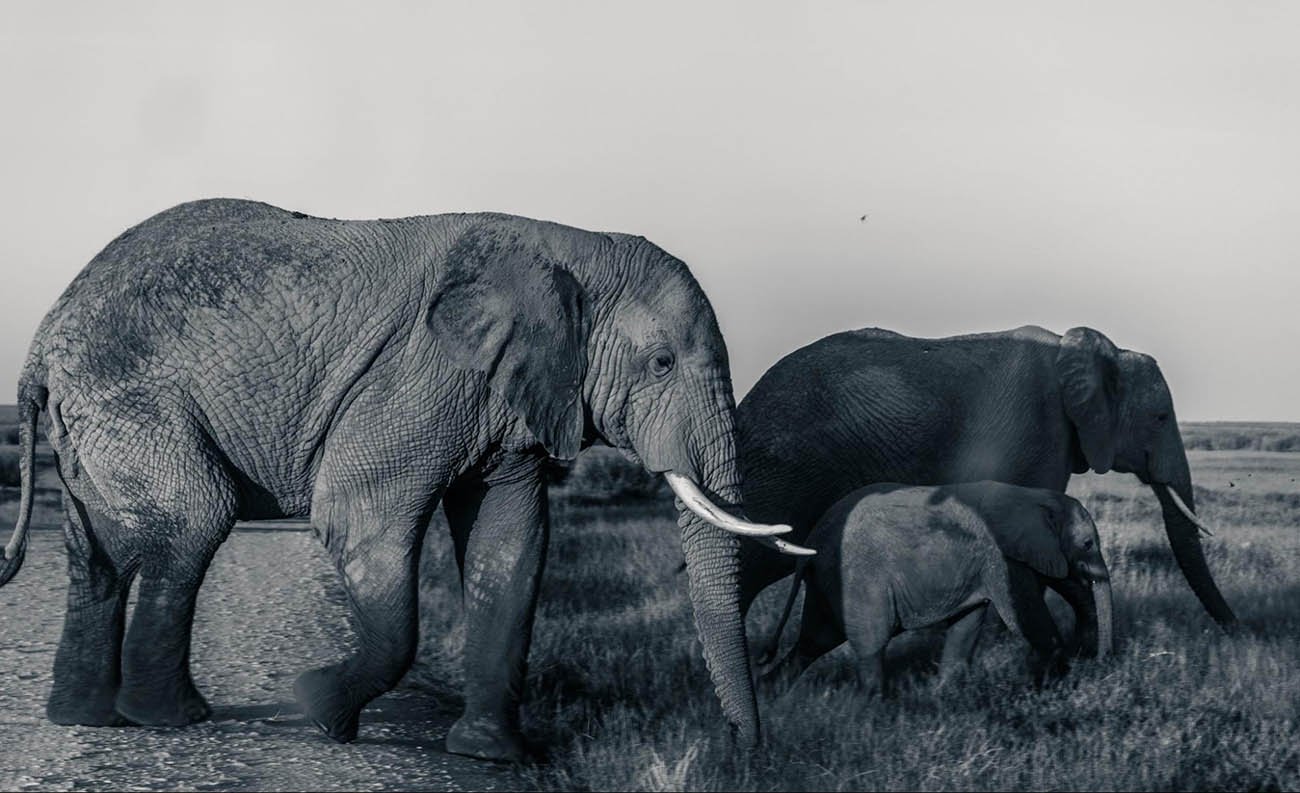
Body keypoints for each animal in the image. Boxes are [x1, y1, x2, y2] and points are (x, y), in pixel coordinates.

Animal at [0, 198, 808, 762]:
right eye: (662, 363)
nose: (746, 751)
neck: (568, 246)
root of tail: (40, 342)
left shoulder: (505, 392)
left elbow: (511, 544)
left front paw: (494, 756)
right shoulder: (417, 375)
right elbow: (362, 516)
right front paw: (316, 707)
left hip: (94, 420)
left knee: (99, 551)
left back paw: (87, 716)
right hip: (128, 394)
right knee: (196, 517)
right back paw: (168, 719)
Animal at [736, 324, 1235, 643]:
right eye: (1161, 417)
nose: (1236, 629)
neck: (1081, 352)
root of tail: (745, 405)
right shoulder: (1041, 433)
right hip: (785, 473)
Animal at [756, 482, 1113, 693]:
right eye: (1087, 544)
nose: (1099, 663)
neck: (1034, 496)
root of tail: (811, 543)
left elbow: (968, 623)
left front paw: (945, 695)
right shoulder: (1002, 558)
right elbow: (1028, 619)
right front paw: (1058, 685)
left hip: (827, 581)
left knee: (815, 639)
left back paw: (770, 691)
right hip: (856, 576)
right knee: (870, 643)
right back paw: (874, 708)